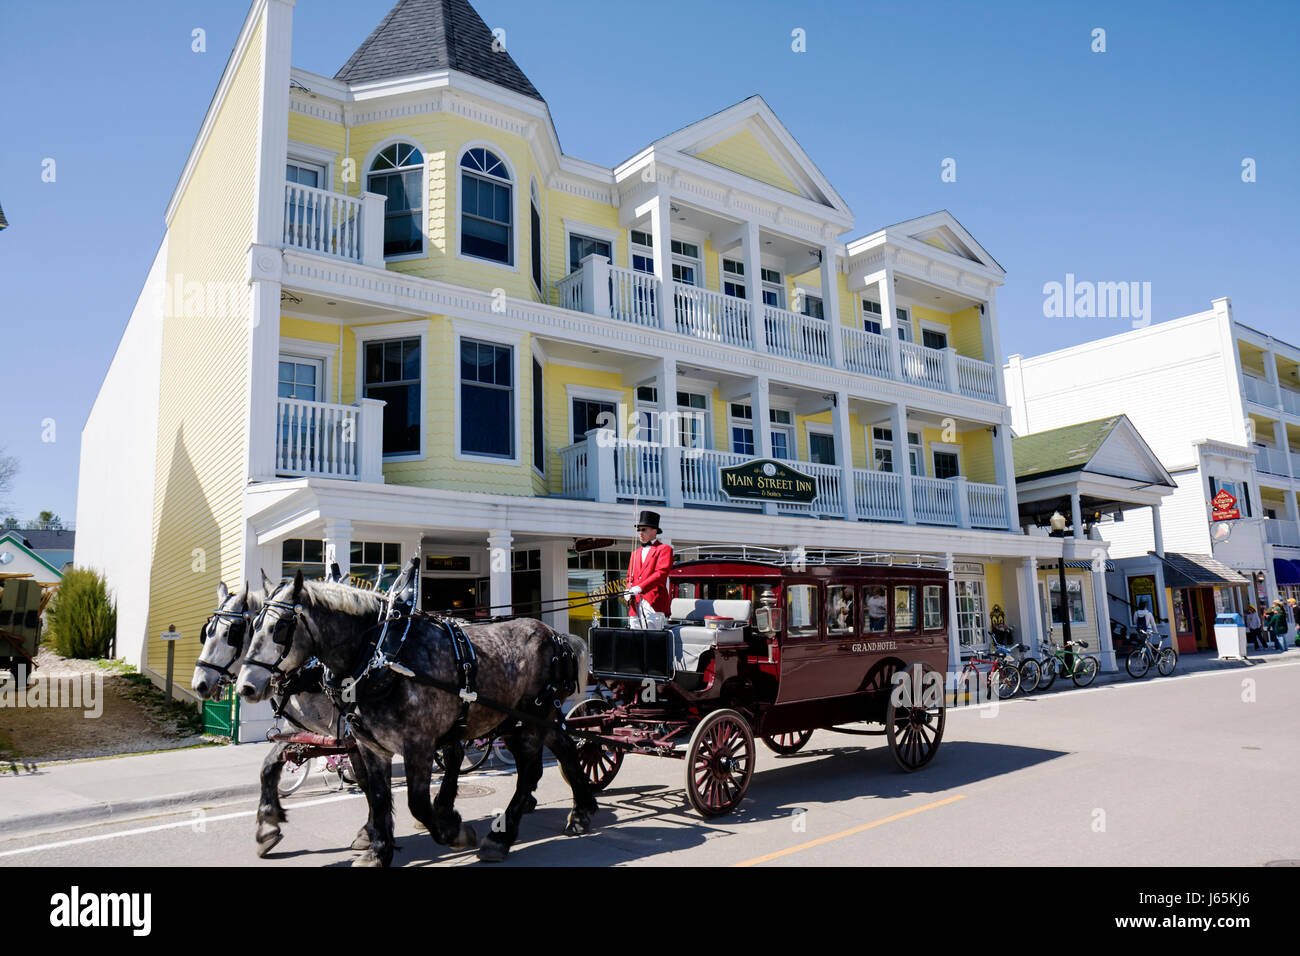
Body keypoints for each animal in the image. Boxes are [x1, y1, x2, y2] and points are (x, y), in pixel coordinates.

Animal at [189, 574, 387, 858]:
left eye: (231, 633)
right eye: (207, 632)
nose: (200, 684)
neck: (307, 672)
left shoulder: (354, 734)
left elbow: (369, 780)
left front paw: (371, 832)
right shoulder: (302, 728)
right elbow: (269, 766)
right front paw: (268, 827)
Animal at [236, 572, 595, 868]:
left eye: (280, 627)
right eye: (252, 627)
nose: (246, 687)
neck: (381, 656)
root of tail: (557, 635)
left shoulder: (418, 744)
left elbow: (417, 803)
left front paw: (455, 833)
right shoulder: (370, 745)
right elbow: (379, 797)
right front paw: (378, 851)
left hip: (530, 719)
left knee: (530, 771)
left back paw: (501, 837)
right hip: (524, 719)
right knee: (565, 747)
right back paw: (582, 810)